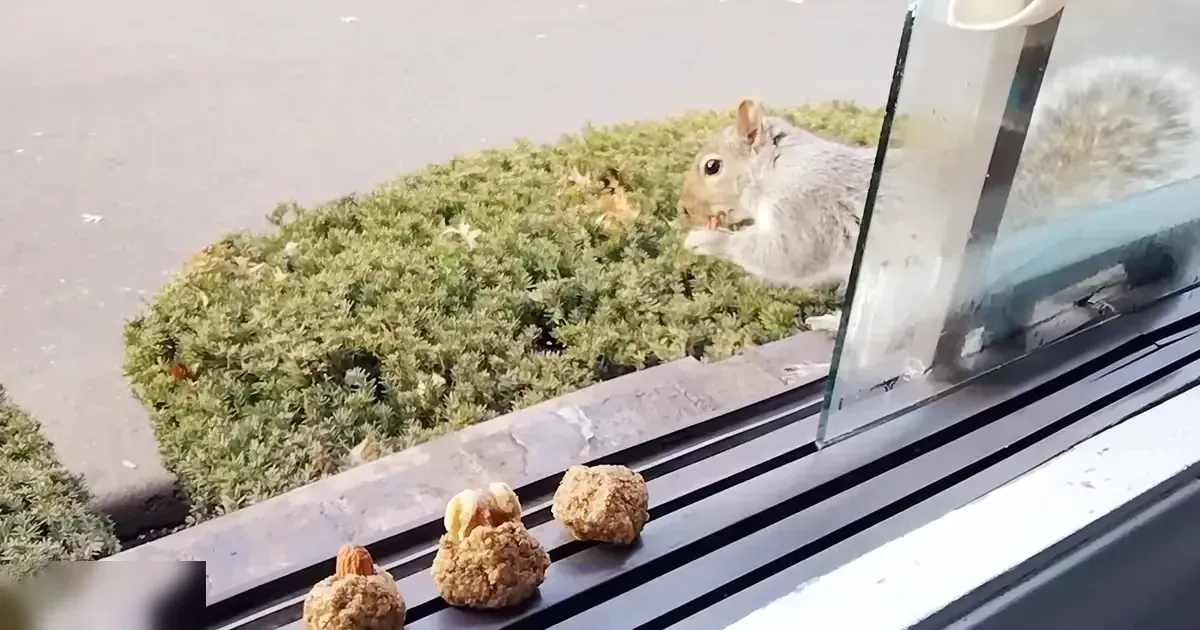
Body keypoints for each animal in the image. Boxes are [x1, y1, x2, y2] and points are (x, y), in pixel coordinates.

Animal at [679, 55, 1200, 340]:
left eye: (712, 167)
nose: (685, 208)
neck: (779, 168)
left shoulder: (807, 205)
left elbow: (786, 255)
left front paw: (708, 242)